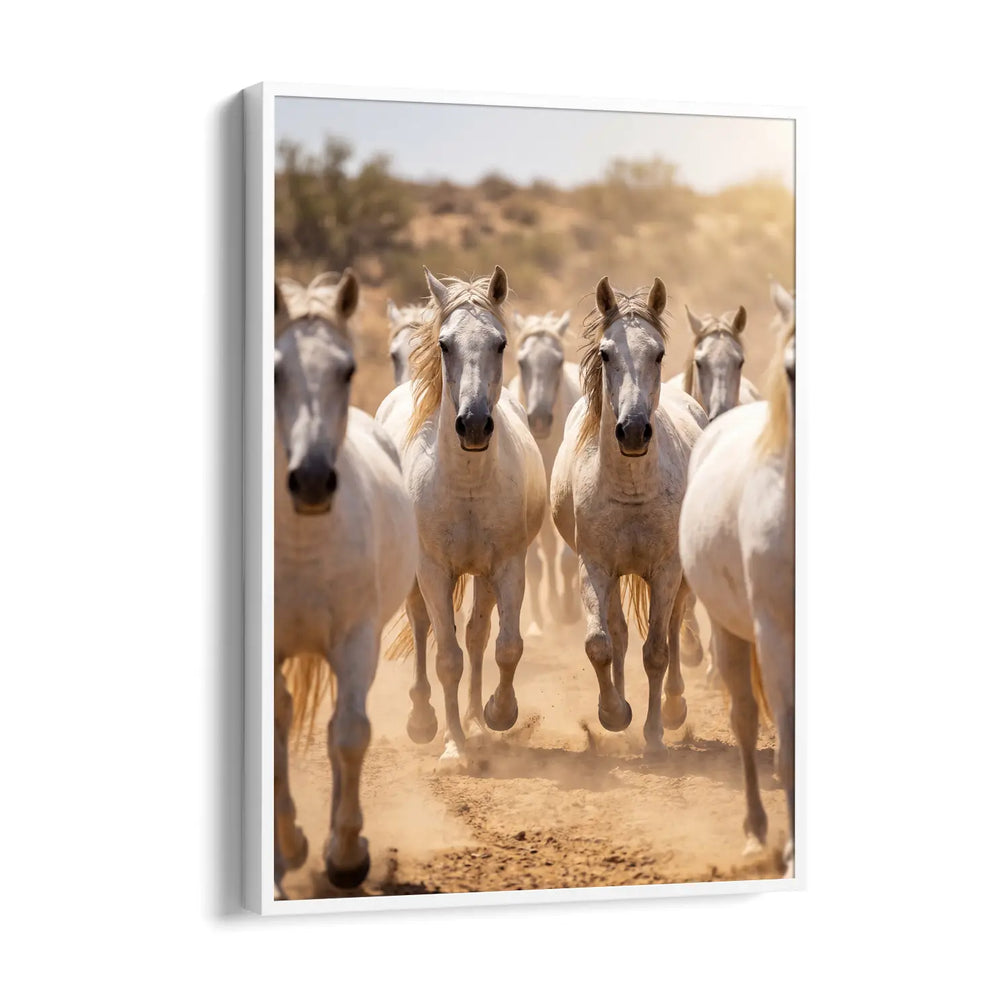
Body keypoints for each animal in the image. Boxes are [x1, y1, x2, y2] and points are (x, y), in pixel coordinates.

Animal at [376, 267, 546, 758]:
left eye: (501, 343)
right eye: (445, 344)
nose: (472, 424)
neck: (467, 483)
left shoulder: (507, 565)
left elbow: (506, 646)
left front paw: (497, 713)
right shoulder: (433, 570)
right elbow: (446, 657)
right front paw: (453, 747)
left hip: (482, 575)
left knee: (477, 634)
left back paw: (474, 718)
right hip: (419, 575)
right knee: (421, 627)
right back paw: (423, 719)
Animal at [550, 278, 706, 753]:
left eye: (657, 352)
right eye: (605, 353)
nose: (633, 431)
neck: (631, 489)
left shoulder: (666, 569)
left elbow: (656, 651)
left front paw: (654, 734)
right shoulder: (596, 566)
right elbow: (600, 643)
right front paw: (614, 713)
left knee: (672, 629)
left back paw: (674, 709)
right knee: (618, 633)